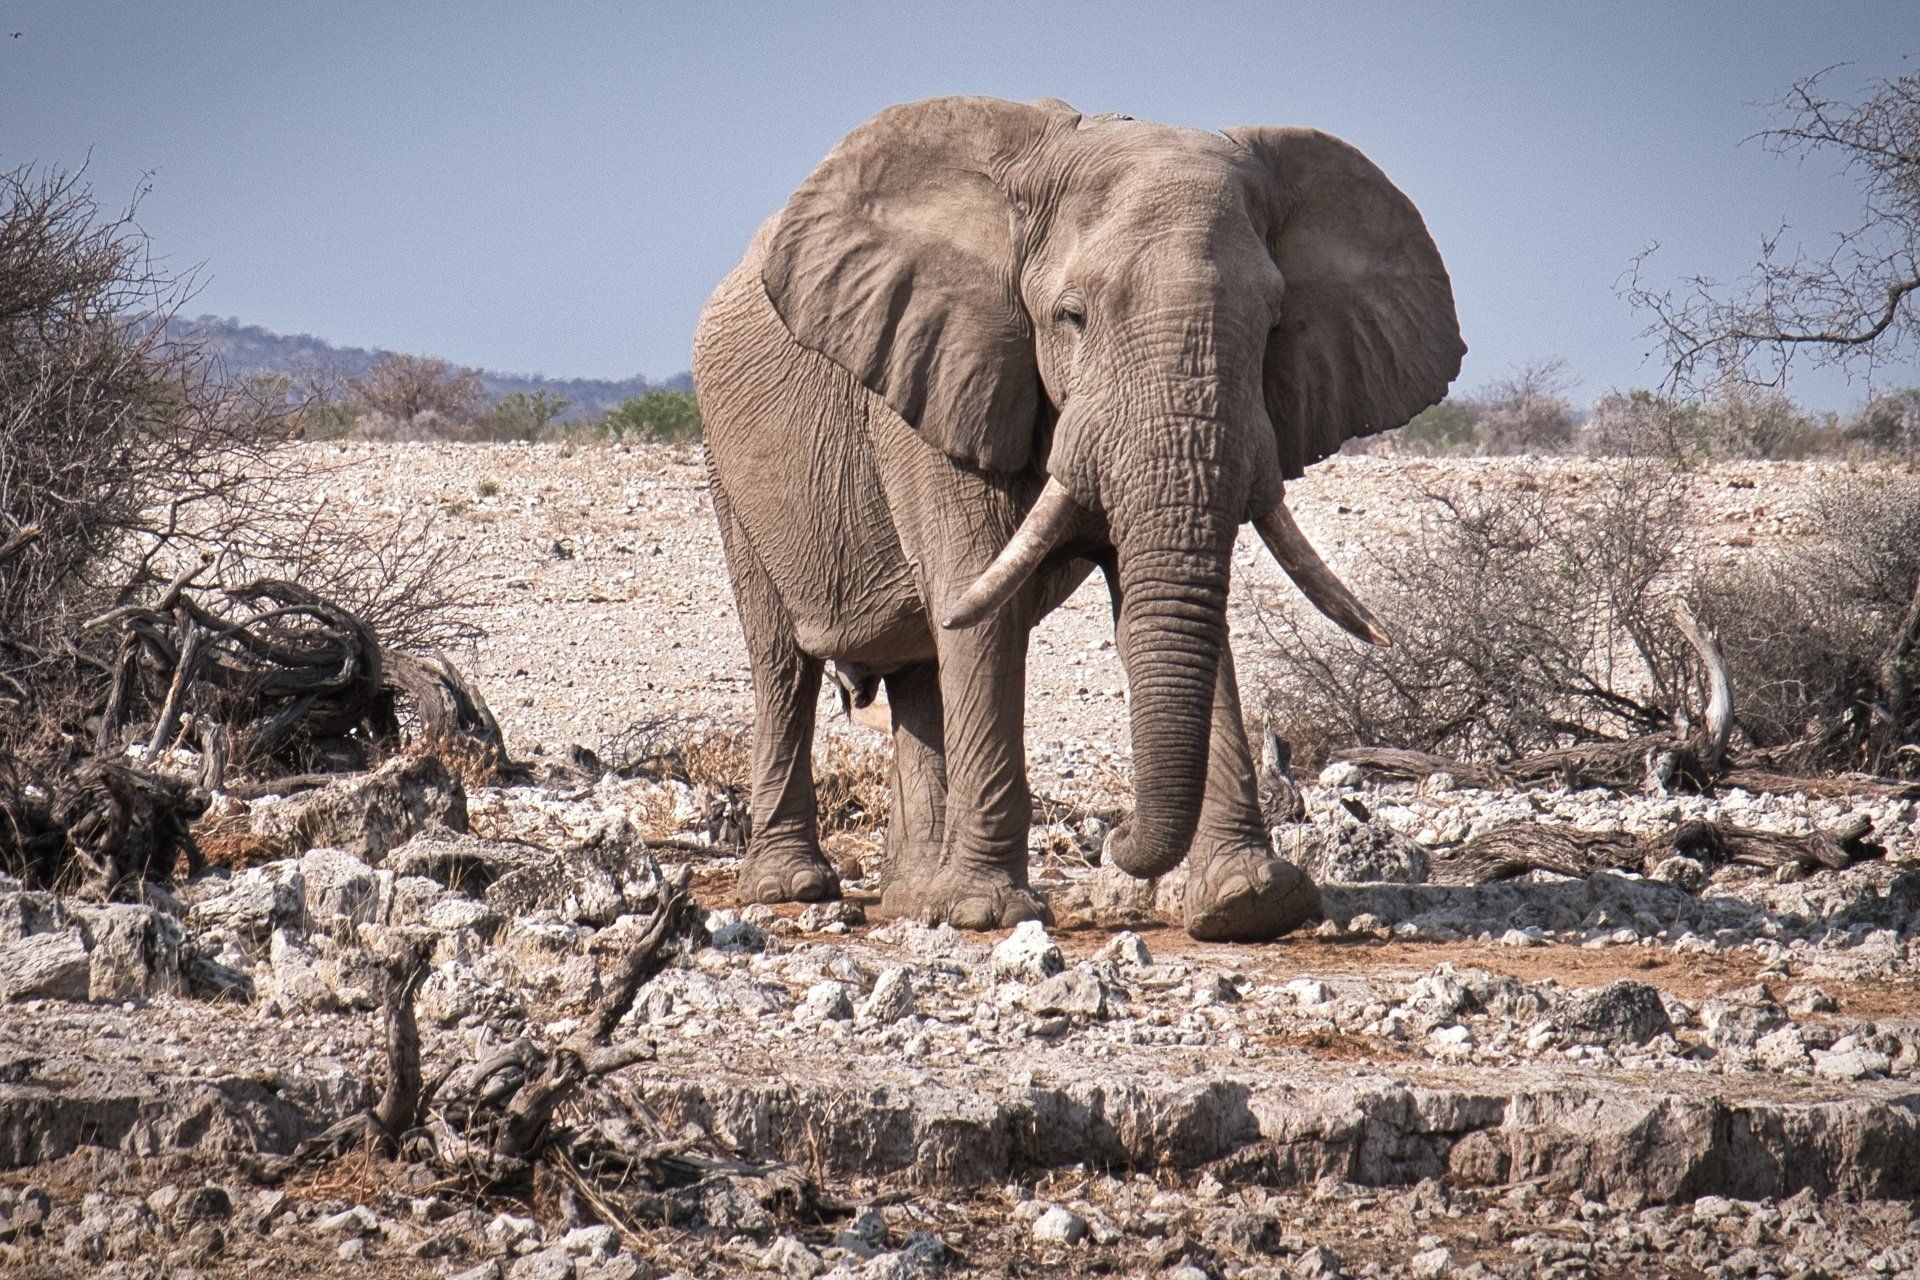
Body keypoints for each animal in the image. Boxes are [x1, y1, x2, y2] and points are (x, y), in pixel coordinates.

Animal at [698, 94, 1459, 940]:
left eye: (1272, 327)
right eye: (1072, 317)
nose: (1118, 842)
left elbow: (1163, 607)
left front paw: (1252, 902)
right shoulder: (938, 374)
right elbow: (979, 604)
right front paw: (988, 913)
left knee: (921, 669)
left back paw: (911, 897)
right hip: (728, 463)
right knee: (783, 663)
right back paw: (795, 888)